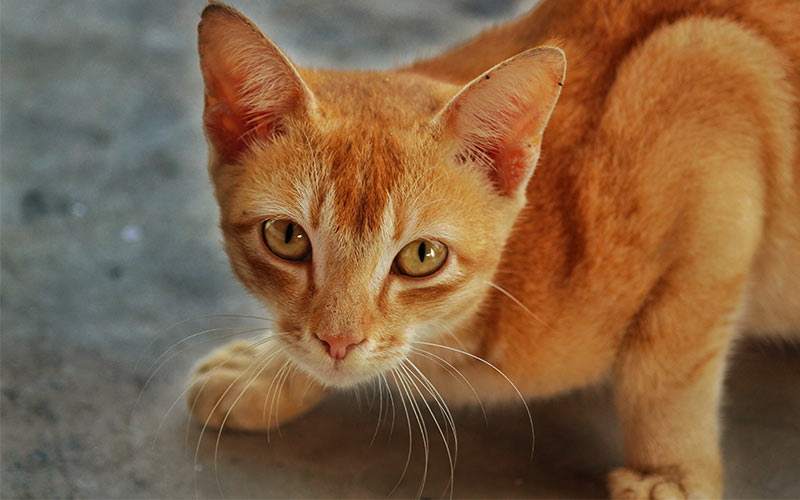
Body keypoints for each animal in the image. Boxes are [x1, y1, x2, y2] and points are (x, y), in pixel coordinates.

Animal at [189, 1, 800, 498]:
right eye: (287, 237)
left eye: (422, 256)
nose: (339, 342)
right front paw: (267, 372)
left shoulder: (711, 80)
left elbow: (666, 366)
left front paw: (669, 473)